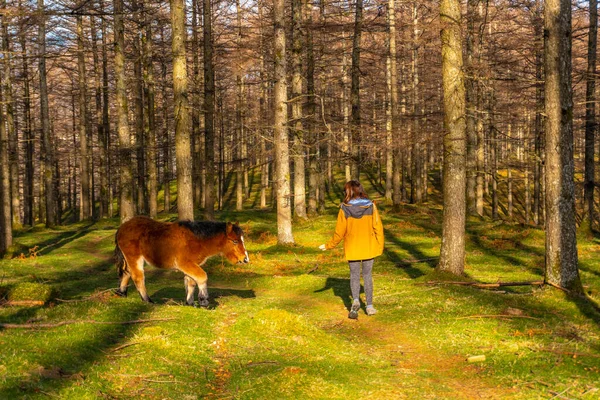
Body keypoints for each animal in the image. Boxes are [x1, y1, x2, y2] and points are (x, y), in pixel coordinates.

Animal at [115, 216, 248, 306]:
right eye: (235, 241)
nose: (245, 259)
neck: (197, 240)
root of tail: (122, 228)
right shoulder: (185, 263)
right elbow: (202, 277)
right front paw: (204, 301)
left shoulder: (191, 265)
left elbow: (191, 282)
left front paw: (190, 303)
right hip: (134, 257)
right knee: (138, 277)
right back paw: (147, 300)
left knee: (126, 272)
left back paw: (121, 293)